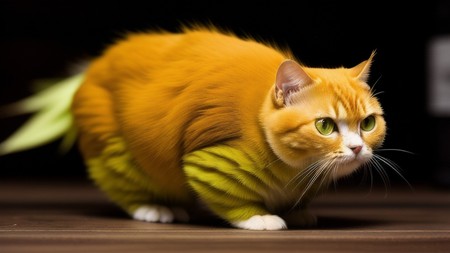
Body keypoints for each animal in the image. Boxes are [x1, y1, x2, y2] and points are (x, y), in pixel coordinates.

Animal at [0, 25, 386, 229]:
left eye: (367, 123)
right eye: (325, 126)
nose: (357, 148)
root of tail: (92, 68)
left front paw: (297, 212)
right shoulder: (208, 164)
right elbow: (233, 201)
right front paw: (261, 218)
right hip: (118, 153)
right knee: (125, 190)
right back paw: (154, 209)